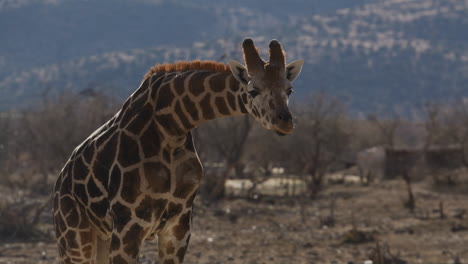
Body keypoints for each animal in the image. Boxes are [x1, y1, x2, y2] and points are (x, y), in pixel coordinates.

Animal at [53, 38, 306, 262]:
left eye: (290, 90)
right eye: (253, 90)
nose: (285, 122)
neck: (172, 127)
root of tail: (59, 181)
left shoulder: (179, 224)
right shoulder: (128, 225)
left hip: (102, 238)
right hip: (75, 238)